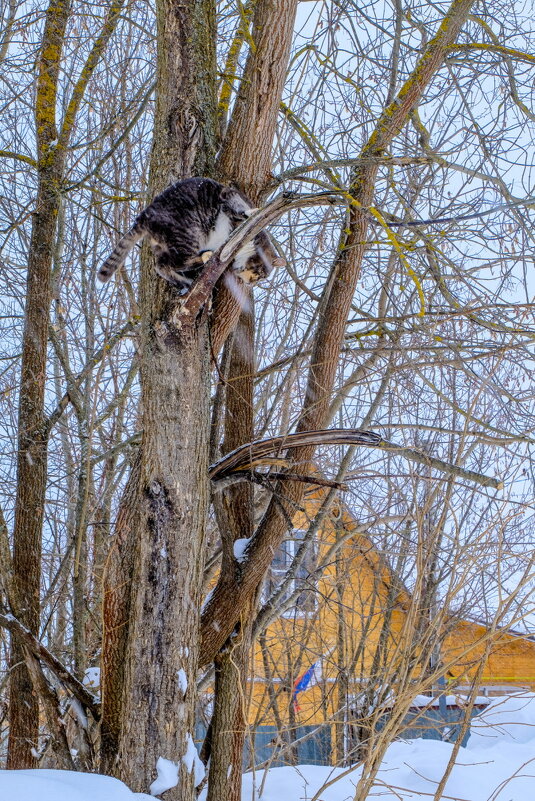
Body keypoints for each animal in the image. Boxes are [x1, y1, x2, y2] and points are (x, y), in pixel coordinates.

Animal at [98, 177, 286, 290]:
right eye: (261, 275)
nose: (251, 283)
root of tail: (145, 215)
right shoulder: (229, 196)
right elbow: (240, 208)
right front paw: (251, 212)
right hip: (190, 231)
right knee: (175, 262)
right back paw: (203, 258)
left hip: (165, 243)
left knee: (162, 265)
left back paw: (184, 277)